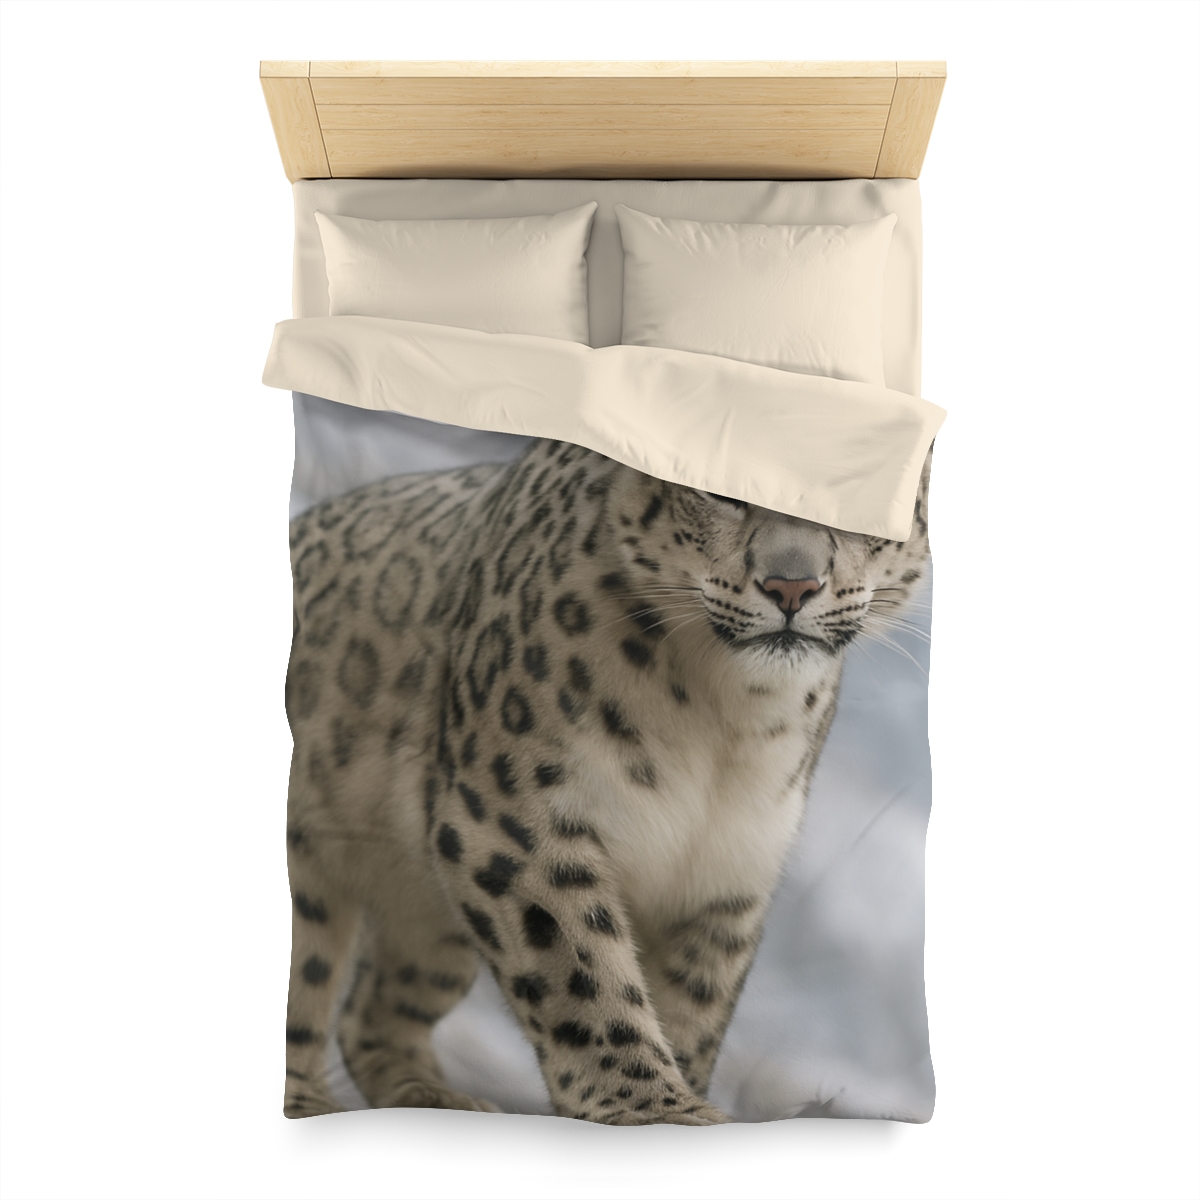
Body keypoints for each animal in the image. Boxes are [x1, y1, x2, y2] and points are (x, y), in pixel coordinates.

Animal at [282, 436, 931, 1126]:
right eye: (720, 490)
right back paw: (310, 1102)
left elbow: (693, 1001)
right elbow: (583, 969)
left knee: (373, 1010)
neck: (727, 719)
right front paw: (655, 1107)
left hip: (426, 920)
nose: (792, 585)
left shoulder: (729, 869)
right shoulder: (516, 818)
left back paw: (436, 1099)